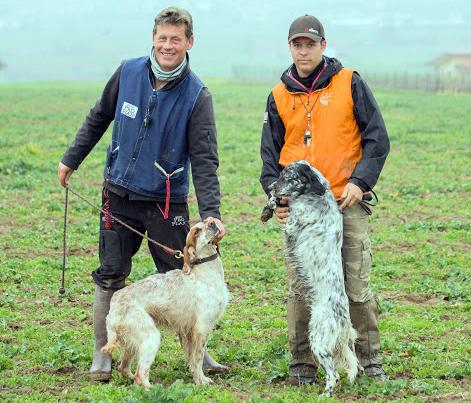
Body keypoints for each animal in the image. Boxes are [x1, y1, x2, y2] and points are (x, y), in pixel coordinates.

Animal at [102, 221, 230, 388]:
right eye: (196, 231)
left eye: (207, 222)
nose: (212, 222)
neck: (204, 273)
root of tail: (114, 305)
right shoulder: (202, 328)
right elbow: (198, 358)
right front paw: (201, 381)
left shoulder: (188, 331)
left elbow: (192, 359)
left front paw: (196, 378)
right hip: (151, 337)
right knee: (140, 375)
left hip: (132, 341)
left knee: (124, 368)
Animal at [270, 161, 358, 398]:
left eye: (287, 175)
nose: (270, 187)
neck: (317, 195)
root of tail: (342, 318)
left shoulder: (294, 221)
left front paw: (272, 201)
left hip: (318, 339)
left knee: (333, 373)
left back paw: (326, 393)